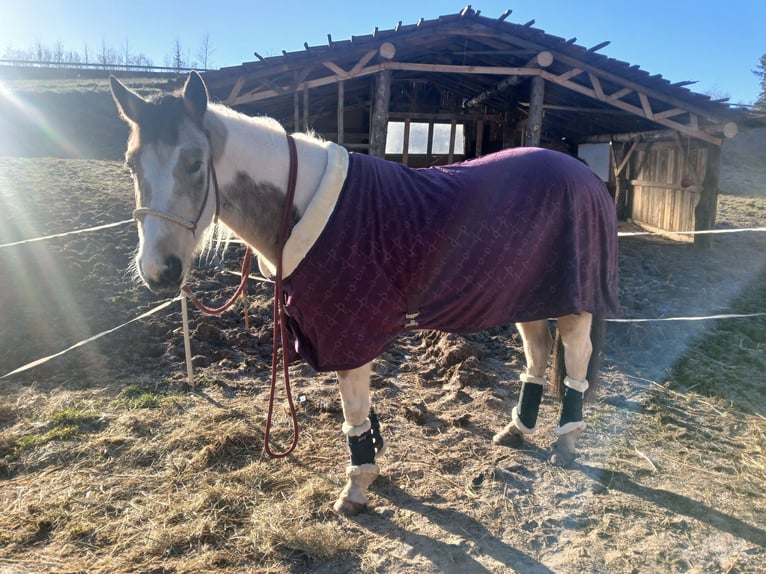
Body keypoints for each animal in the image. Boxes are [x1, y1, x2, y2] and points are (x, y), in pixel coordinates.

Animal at [110, 71, 620, 516]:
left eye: (195, 163)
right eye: (131, 164)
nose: (159, 272)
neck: (302, 205)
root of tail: (587, 176)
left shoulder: (348, 334)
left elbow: (353, 410)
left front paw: (356, 488)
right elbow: (364, 412)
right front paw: (373, 458)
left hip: (573, 303)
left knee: (575, 357)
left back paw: (566, 442)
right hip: (527, 297)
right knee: (538, 353)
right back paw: (516, 431)